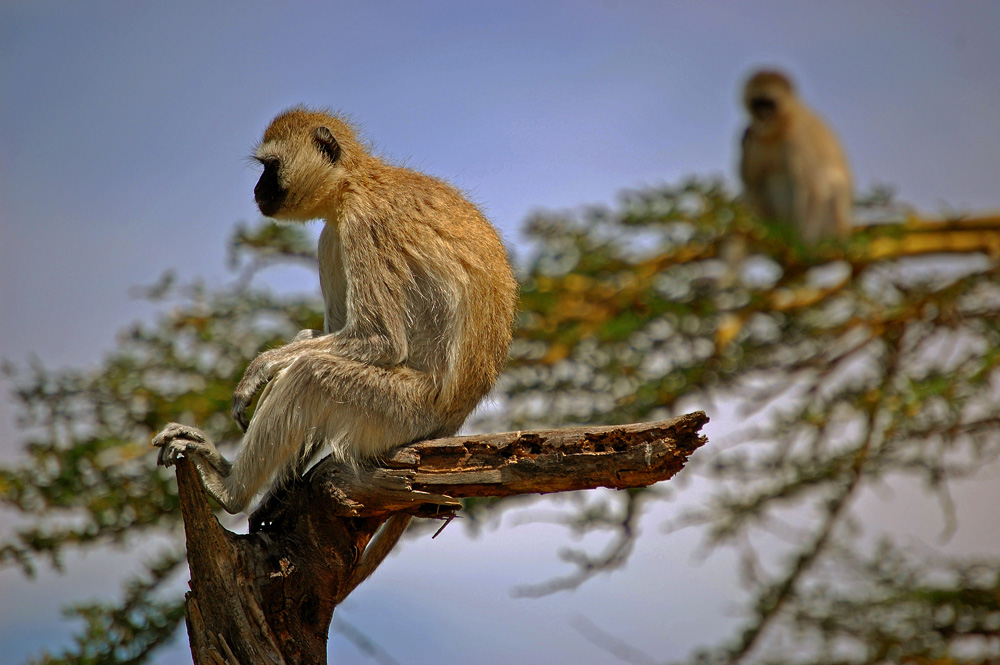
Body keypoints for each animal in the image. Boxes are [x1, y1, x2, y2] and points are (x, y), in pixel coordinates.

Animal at [154, 105, 524, 520]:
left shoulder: (364, 225)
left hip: (403, 410)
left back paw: (231, 490)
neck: (354, 182)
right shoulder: (331, 234)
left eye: (270, 167)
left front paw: (260, 368)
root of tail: (452, 418)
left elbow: (380, 340)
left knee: (310, 373)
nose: (257, 191)